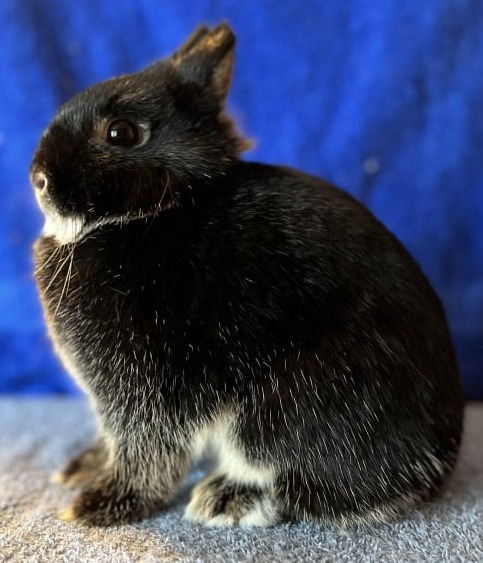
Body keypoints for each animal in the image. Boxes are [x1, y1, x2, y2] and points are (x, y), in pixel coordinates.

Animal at [31, 20, 466, 524]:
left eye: (120, 133)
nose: (38, 178)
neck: (150, 214)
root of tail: (438, 461)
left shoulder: (148, 390)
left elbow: (148, 456)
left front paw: (98, 506)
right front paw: (82, 470)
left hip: (286, 410)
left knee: (315, 491)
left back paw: (228, 497)